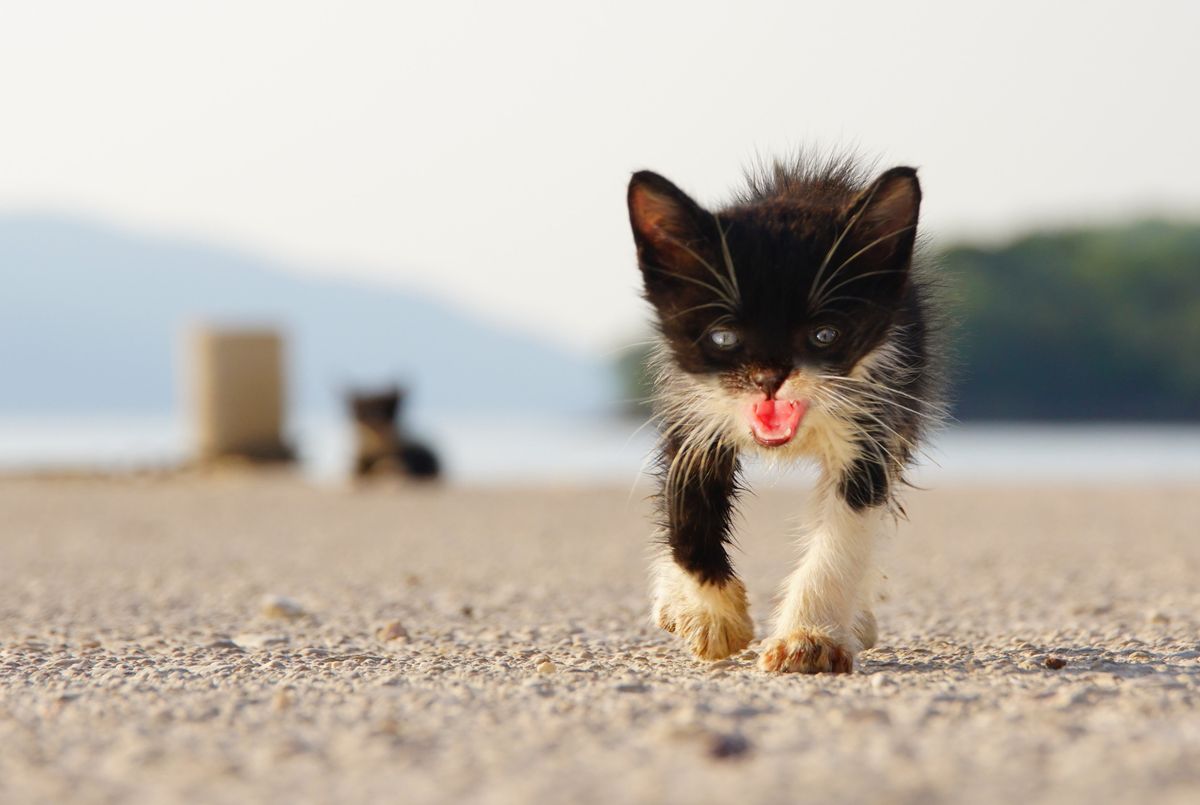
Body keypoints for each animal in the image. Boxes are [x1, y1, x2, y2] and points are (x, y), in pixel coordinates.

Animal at [628, 154, 945, 671]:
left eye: (824, 335)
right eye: (723, 337)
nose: (770, 378)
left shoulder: (876, 416)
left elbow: (846, 527)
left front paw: (809, 639)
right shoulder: (692, 407)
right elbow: (686, 503)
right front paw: (713, 617)